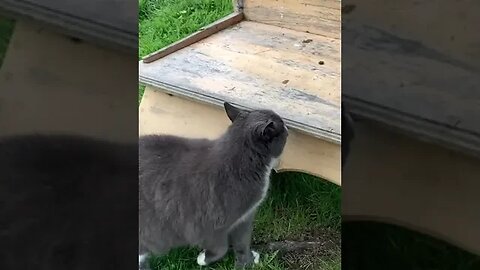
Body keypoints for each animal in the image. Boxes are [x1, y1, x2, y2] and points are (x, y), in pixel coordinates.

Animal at [139, 102, 288, 268]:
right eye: (282, 130)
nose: (287, 127)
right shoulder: (208, 222)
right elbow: (220, 247)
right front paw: (203, 258)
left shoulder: (245, 217)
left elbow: (243, 242)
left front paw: (247, 262)